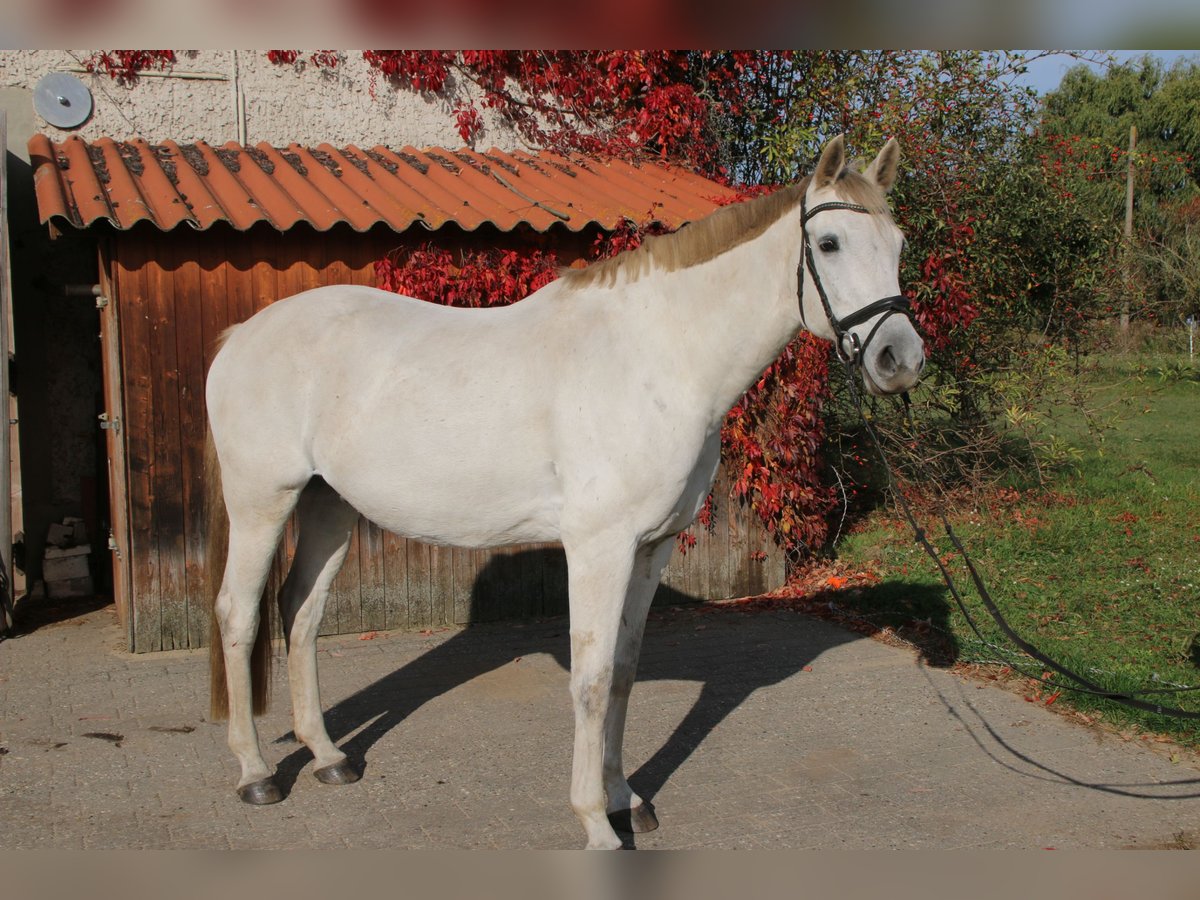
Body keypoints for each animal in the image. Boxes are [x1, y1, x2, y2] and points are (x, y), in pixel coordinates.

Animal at [206, 133, 921, 844]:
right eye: (828, 243)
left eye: (898, 243)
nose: (902, 360)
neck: (655, 357)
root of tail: (241, 336)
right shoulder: (599, 548)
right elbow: (592, 679)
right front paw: (596, 822)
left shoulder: (651, 548)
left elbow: (626, 671)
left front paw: (627, 797)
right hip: (262, 502)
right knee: (239, 614)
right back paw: (255, 775)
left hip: (329, 504)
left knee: (301, 613)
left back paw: (328, 757)